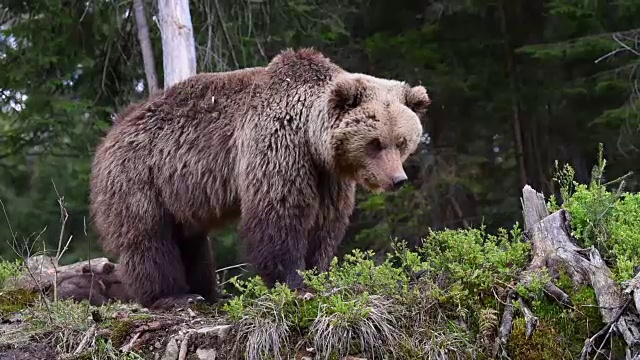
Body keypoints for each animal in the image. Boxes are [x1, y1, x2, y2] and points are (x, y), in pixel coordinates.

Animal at [89, 46, 430, 308]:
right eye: (375, 142)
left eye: (402, 142)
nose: (397, 179)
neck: (311, 138)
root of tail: (113, 130)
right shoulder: (278, 146)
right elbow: (280, 215)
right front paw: (294, 281)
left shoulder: (327, 176)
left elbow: (325, 224)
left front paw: (319, 273)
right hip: (140, 177)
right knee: (149, 237)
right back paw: (174, 296)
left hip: (179, 191)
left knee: (190, 239)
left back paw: (208, 293)